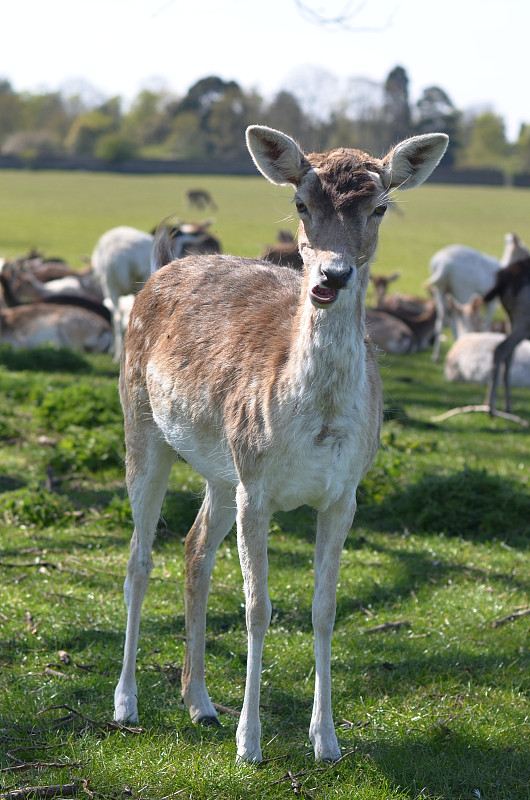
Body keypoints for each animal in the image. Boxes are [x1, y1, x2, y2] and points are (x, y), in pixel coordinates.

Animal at [113, 123, 448, 764]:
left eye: (380, 206)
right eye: (300, 203)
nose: (331, 277)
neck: (315, 424)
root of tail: (160, 268)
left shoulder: (344, 493)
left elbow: (325, 608)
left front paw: (327, 741)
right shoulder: (258, 487)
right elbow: (258, 607)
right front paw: (250, 743)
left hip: (221, 469)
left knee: (194, 548)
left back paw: (200, 703)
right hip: (141, 422)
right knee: (140, 556)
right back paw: (127, 703)